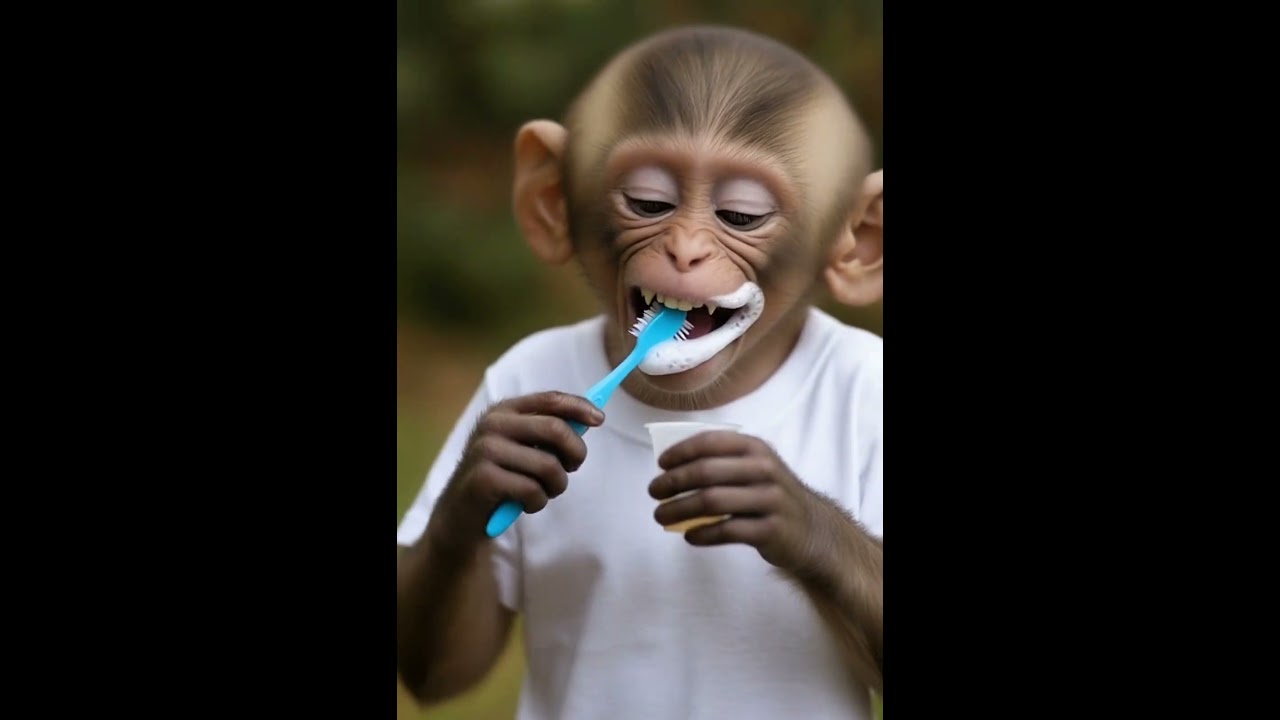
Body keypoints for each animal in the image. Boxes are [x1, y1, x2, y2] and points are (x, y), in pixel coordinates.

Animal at [397, 25, 883, 720]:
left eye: (741, 215)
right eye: (649, 202)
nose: (685, 251)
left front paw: (778, 503)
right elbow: (451, 656)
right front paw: (493, 467)